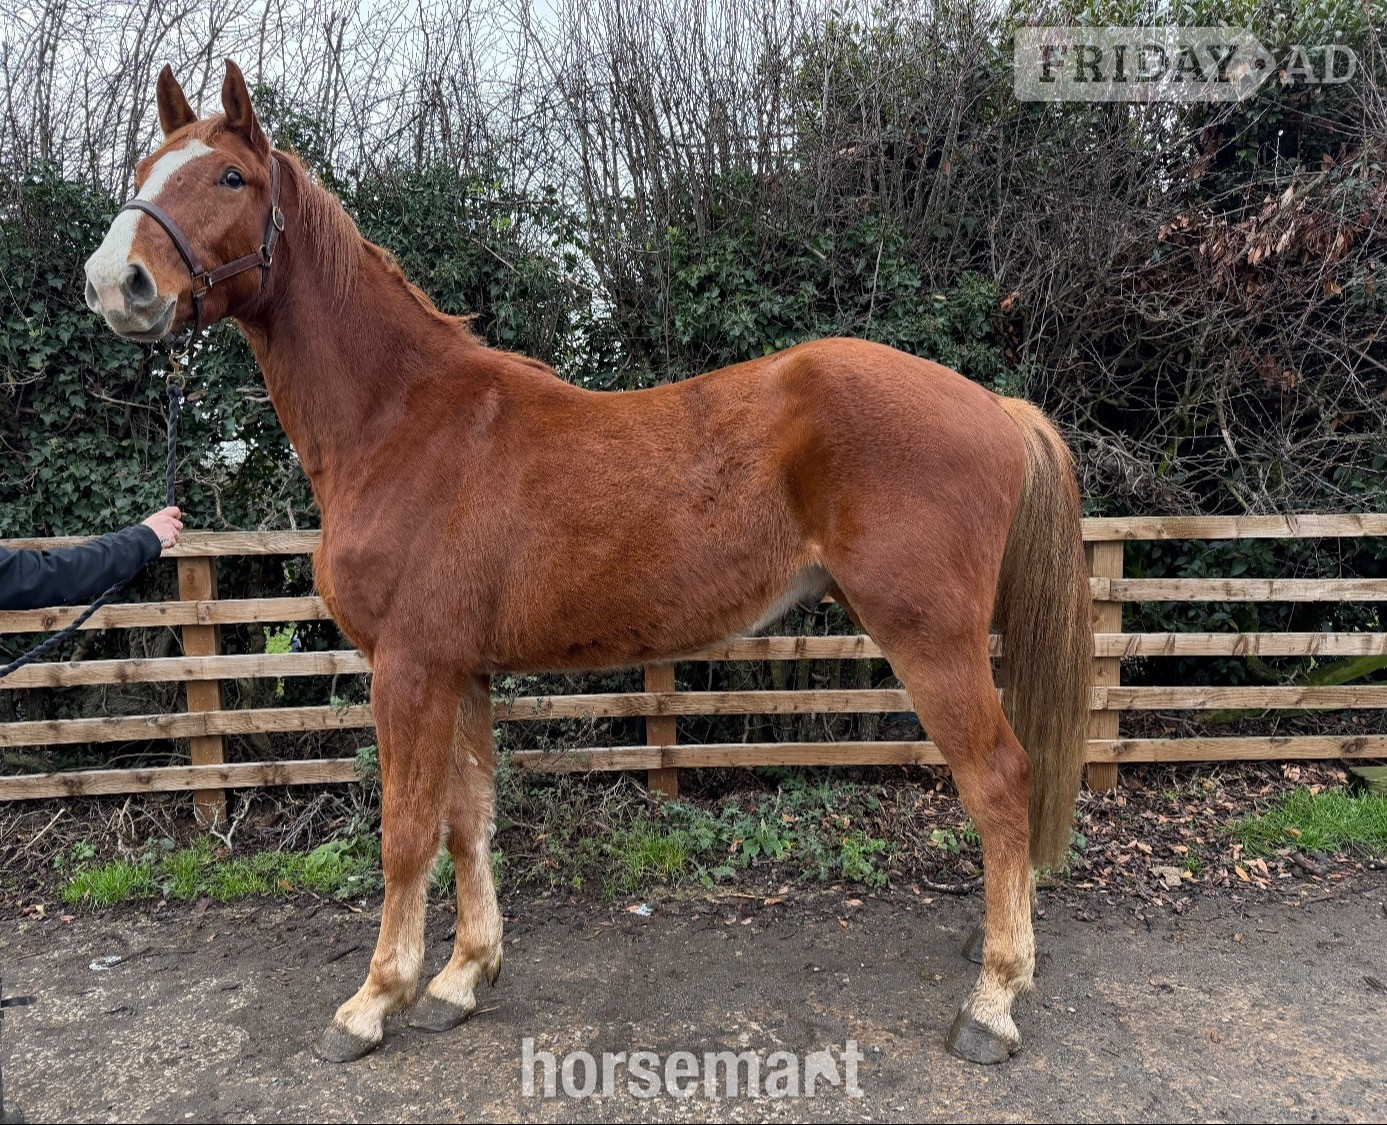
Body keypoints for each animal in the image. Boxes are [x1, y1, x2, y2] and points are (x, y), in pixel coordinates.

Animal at [83, 60, 1092, 1067]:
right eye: (142, 167)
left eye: (229, 177)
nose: (113, 283)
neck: (402, 421)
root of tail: (996, 407)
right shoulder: (461, 670)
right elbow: (467, 818)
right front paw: (460, 978)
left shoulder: (408, 667)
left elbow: (405, 831)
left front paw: (373, 1001)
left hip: (930, 639)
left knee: (1000, 782)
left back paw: (992, 1000)